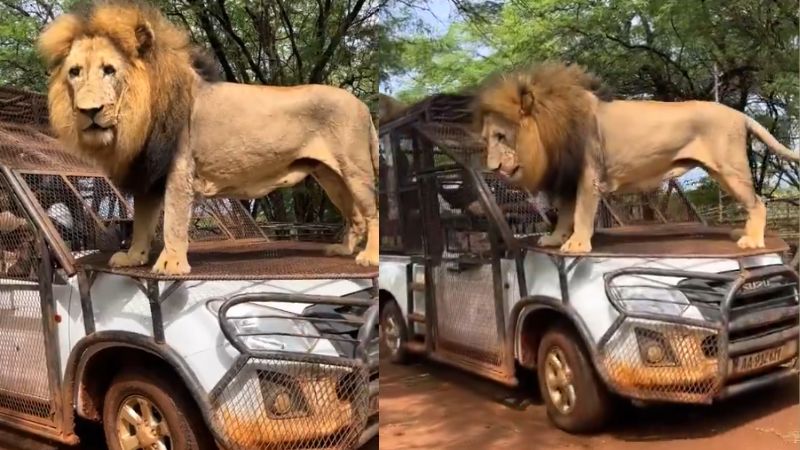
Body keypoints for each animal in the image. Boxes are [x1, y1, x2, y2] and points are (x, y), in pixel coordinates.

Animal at [38, 1, 379, 275]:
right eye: (75, 72)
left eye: (109, 70)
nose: (88, 111)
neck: (142, 111)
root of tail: (362, 105)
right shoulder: (150, 174)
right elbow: (142, 223)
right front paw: (134, 257)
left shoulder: (179, 170)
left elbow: (173, 222)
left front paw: (171, 264)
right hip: (330, 176)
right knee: (355, 216)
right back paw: (344, 250)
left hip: (355, 171)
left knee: (372, 212)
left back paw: (370, 258)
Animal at [474, 62, 799, 253]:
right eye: (486, 140)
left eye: (502, 137)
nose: (492, 167)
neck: (549, 132)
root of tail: (738, 114)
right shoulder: (567, 178)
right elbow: (565, 214)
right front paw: (555, 239)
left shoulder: (588, 176)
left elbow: (580, 214)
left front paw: (577, 244)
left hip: (729, 169)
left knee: (758, 203)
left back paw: (752, 241)